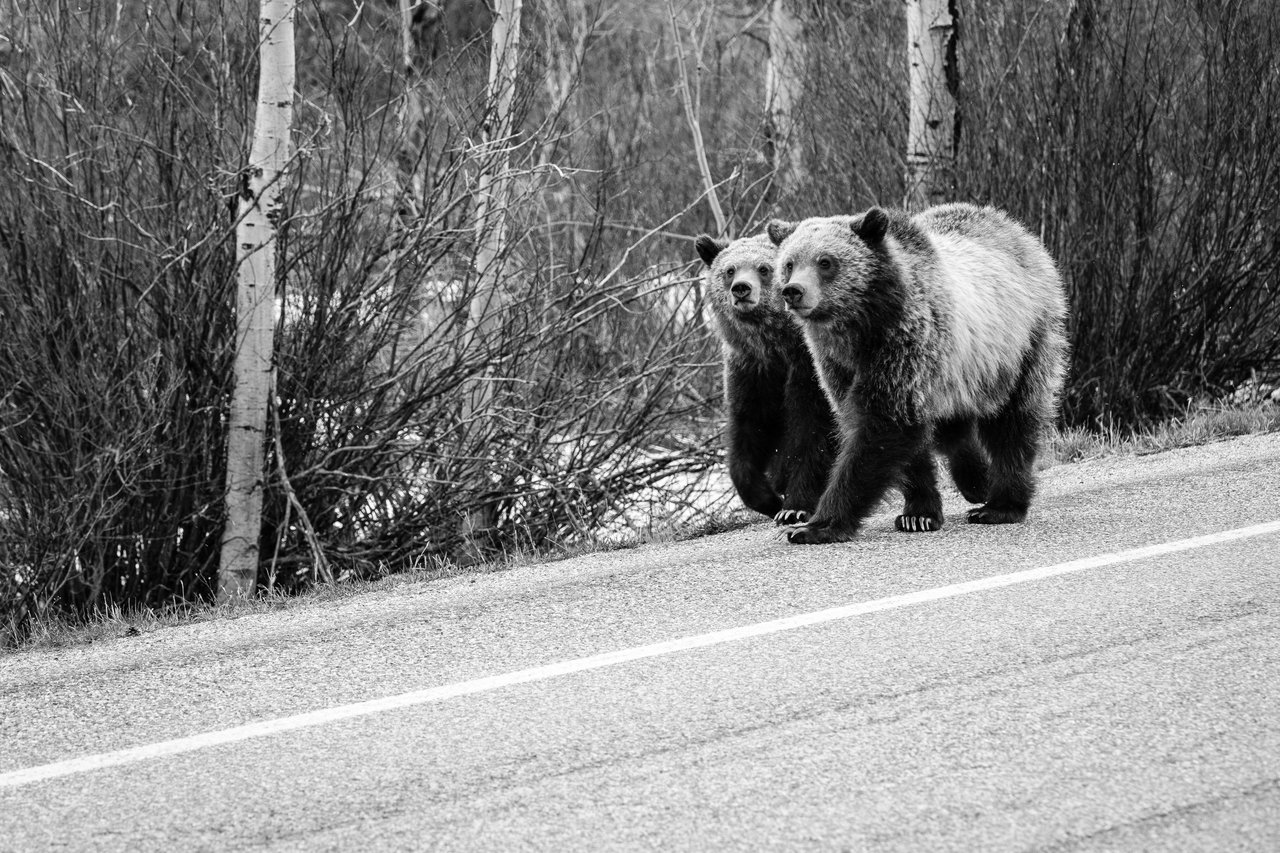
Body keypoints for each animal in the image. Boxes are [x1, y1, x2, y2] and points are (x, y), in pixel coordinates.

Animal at [695, 232, 836, 523]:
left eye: (763, 268)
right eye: (730, 270)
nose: (741, 289)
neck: (774, 345)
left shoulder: (807, 369)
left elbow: (812, 431)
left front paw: (795, 505)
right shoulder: (752, 371)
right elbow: (748, 428)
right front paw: (768, 498)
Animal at [765, 203, 1068, 544]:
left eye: (825, 261)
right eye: (789, 263)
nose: (793, 291)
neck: (860, 327)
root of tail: (1017, 230)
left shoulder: (903, 343)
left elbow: (883, 427)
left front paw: (816, 525)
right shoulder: (838, 366)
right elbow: (903, 440)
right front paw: (918, 513)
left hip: (1021, 343)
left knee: (1013, 422)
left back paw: (1000, 504)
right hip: (960, 371)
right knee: (953, 429)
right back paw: (976, 480)